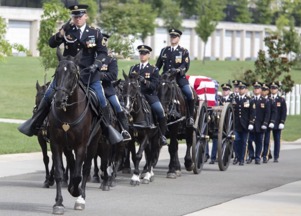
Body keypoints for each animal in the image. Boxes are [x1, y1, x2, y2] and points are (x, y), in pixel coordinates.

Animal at [47, 48, 102, 215]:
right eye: (57, 72)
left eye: (73, 73)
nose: (59, 99)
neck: (69, 112)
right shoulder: (56, 144)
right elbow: (59, 172)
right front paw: (58, 203)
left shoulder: (81, 145)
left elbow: (79, 173)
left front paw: (76, 192)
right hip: (67, 146)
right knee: (71, 164)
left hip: (93, 144)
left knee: (85, 168)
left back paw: (80, 197)